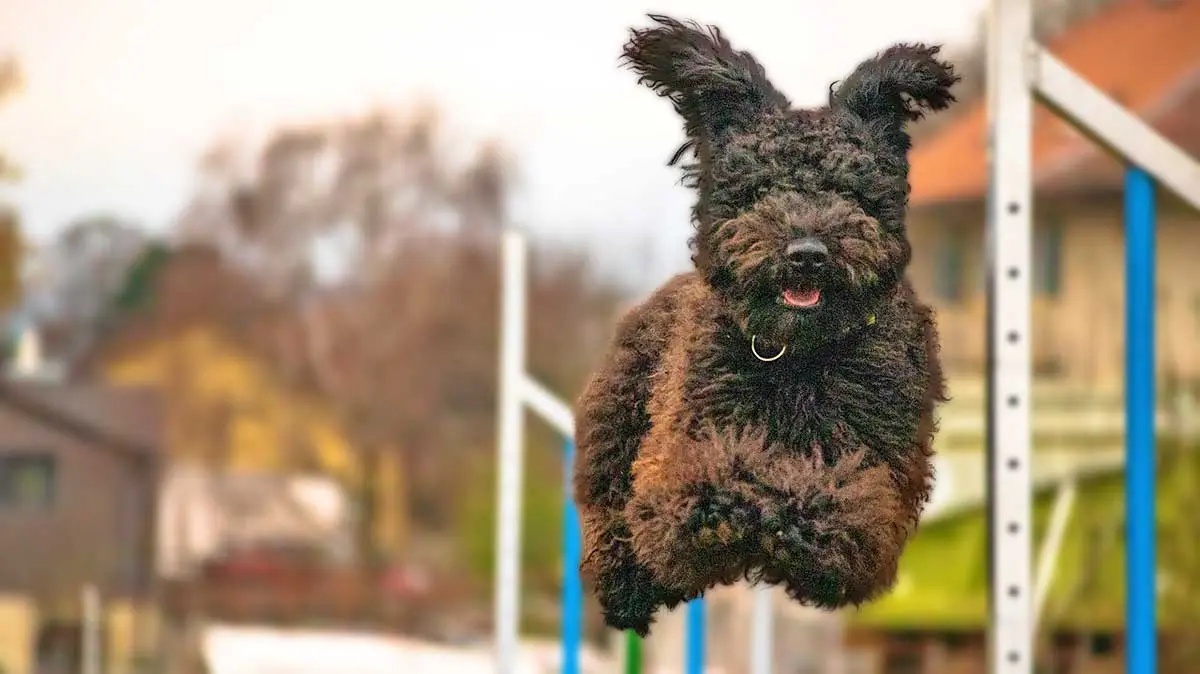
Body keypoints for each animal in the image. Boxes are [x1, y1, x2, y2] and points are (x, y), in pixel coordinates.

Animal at [571, 15, 955, 633]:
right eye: (761, 189)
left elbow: (838, 497)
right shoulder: (684, 446)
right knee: (611, 513)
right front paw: (733, 501)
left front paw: (788, 508)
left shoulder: (879, 477)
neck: (798, 358)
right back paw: (630, 587)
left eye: (847, 192)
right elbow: (705, 478)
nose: (806, 254)